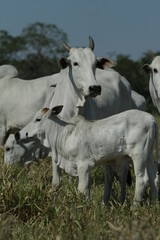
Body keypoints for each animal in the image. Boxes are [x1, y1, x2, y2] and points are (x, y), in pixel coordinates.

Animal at [16, 106, 159, 205]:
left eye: (38, 119)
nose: (19, 134)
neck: (66, 134)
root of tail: (152, 119)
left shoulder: (84, 165)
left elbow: (82, 188)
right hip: (148, 155)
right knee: (154, 177)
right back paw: (154, 204)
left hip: (139, 155)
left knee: (142, 179)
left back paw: (135, 206)